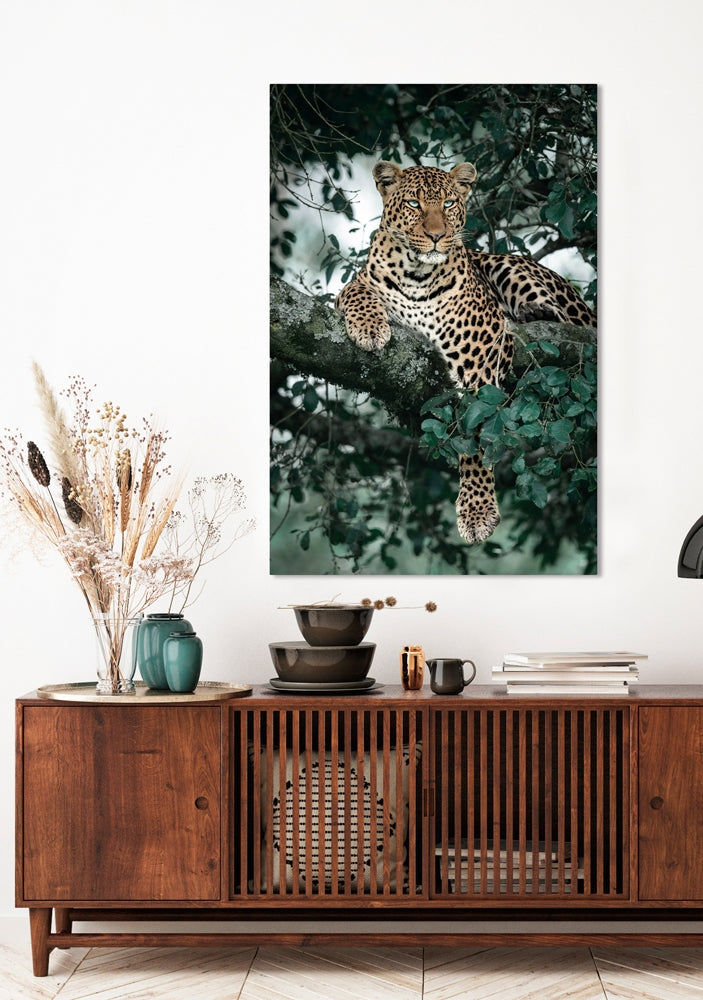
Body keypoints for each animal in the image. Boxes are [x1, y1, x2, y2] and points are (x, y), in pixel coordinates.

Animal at [335, 160, 596, 545]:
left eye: (447, 204)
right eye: (413, 204)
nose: (436, 235)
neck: (416, 274)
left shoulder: (481, 357)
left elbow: (476, 435)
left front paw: (477, 510)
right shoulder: (359, 284)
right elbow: (356, 292)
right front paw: (369, 328)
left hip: (512, 269)